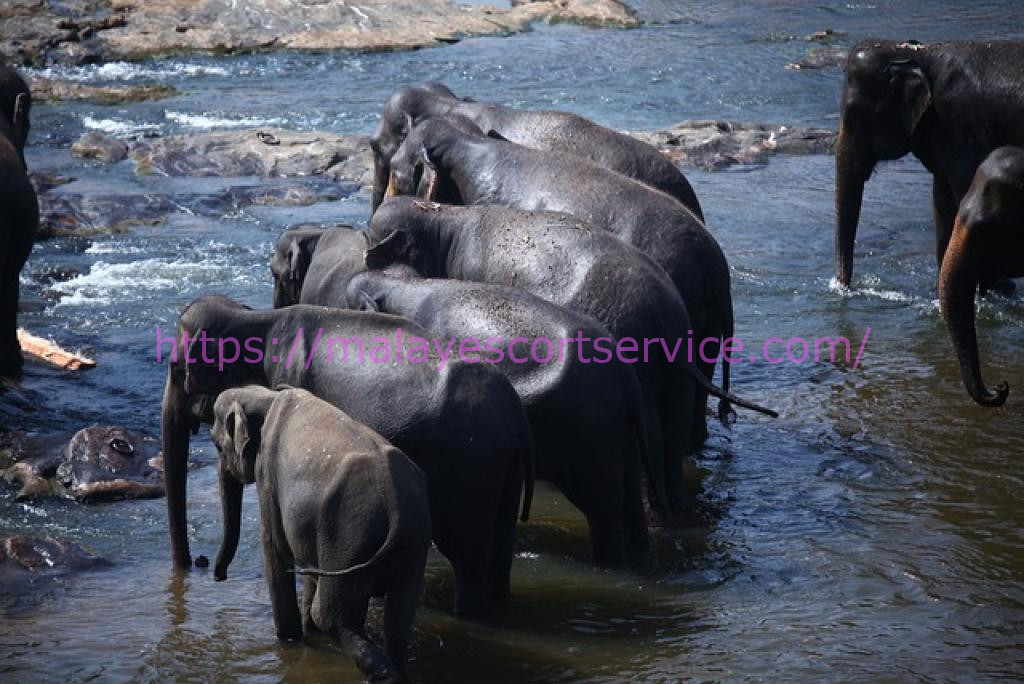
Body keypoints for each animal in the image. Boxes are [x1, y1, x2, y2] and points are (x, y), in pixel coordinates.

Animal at [161, 295, 534, 618]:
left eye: (176, 368)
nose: (203, 565)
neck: (257, 318)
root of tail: (516, 421)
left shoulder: (287, 378)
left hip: (468, 467)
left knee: (466, 557)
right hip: (505, 469)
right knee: (501, 550)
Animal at [211, 386, 430, 683]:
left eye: (216, 446)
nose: (218, 576)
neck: (266, 395)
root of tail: (396, 503)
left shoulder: (267, 477)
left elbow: (275, 548)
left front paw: (289, 639)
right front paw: (305, 632)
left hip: (347, 538)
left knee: (330, 615)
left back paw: (383, 675)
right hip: (411, 545)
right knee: (400, 613)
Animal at [344, 269, 651, 562]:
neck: (404, 285)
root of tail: (626, 377)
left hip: (590, 434)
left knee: (603, 512)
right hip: (622, 433)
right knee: (633, 504)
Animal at [835, 40, 1024, 289]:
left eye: (857, 116)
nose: (842, 288)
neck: (917, 53)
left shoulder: (960, 130)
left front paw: (993, 288)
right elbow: (941, 201)